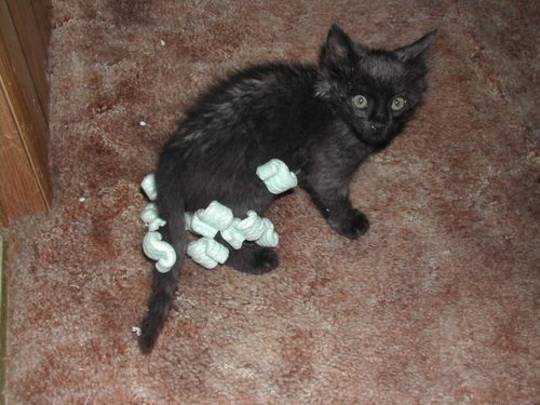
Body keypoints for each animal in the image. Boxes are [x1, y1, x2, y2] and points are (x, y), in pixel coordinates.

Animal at [139, 24, 435, 353]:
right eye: (359, 100)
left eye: (398, 102)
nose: (379, 123)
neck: (333, 108)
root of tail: (172, 155)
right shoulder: (327, 165)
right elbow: (332, 196)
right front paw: (349, 223)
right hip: (250, 191)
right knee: (216, 238)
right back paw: (255, 260)